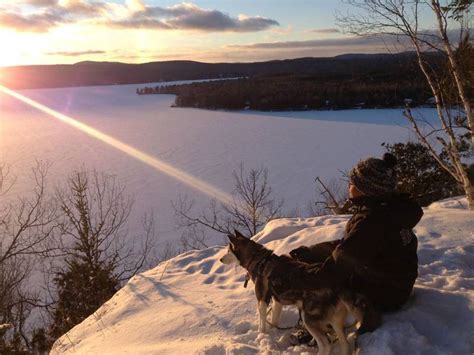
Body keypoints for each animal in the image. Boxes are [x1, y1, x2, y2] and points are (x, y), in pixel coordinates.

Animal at [220, 231, 364, 355]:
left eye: (228, 251)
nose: (220, 259)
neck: (259, 260)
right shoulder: (277, 301)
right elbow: (274, 318)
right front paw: (273, 330)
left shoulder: (262, 299)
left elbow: (262, 321)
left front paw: (262, 334)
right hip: (335, 320)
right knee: (344, 343)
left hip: (308, 318)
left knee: (326, 344)